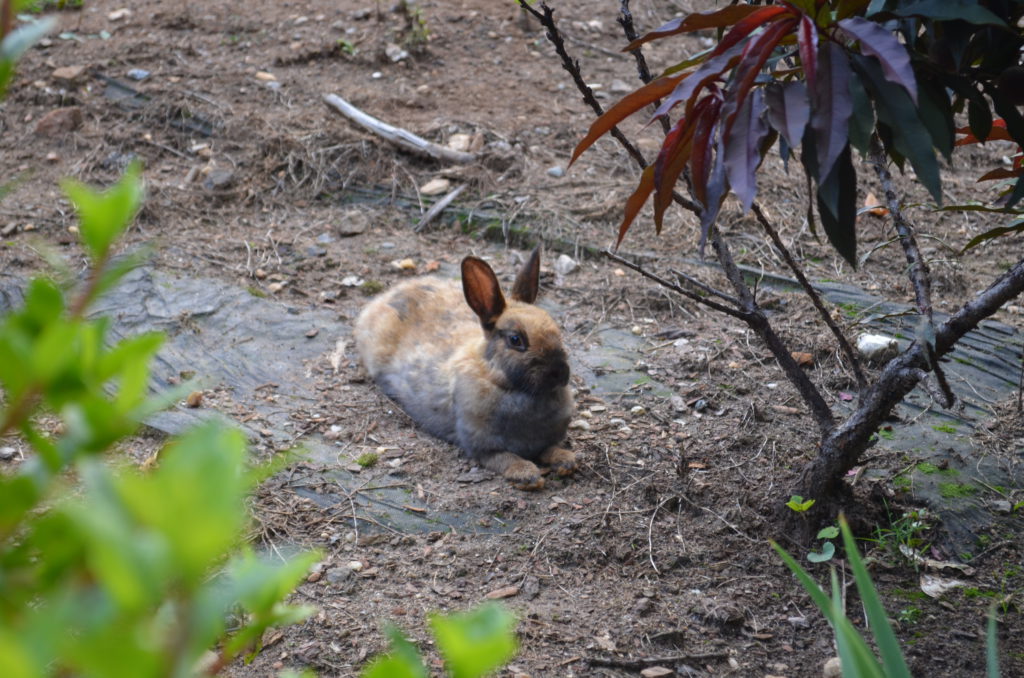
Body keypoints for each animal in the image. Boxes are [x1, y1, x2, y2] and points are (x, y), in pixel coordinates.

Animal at [354, 246, 577, 491]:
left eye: (556, 330)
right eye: (515, 339)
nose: (560, 373)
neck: (503, 382)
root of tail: (385, 297)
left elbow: (551, 449)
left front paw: (566, 462)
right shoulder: (482, 446)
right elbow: (505, 458)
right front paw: (528, 476)